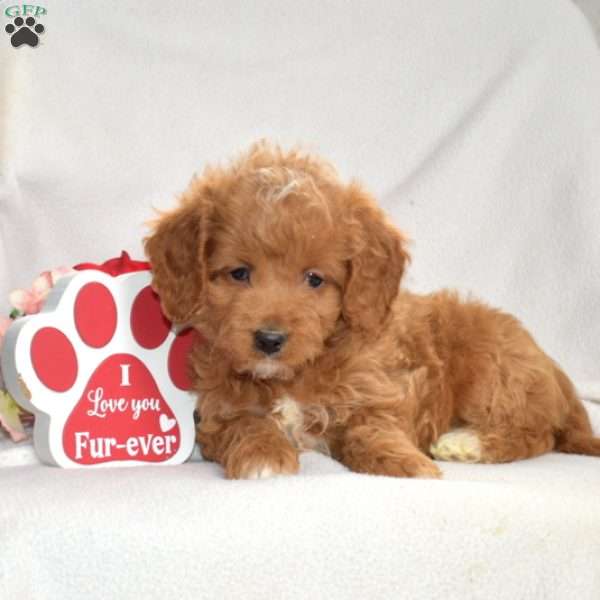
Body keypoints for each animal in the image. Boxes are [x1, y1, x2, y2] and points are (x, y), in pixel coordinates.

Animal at [145, 139, 600, 478]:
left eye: (314, 279)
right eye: (239, 273)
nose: (269, 339)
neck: (293, 376)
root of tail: (556, 373)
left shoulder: (379, 391)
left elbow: (371, 430)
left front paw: (407, 464)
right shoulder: (218, 410)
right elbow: (246, 422)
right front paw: (264, 457)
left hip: (491, 366)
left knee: (536, 435)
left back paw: (465, 442)